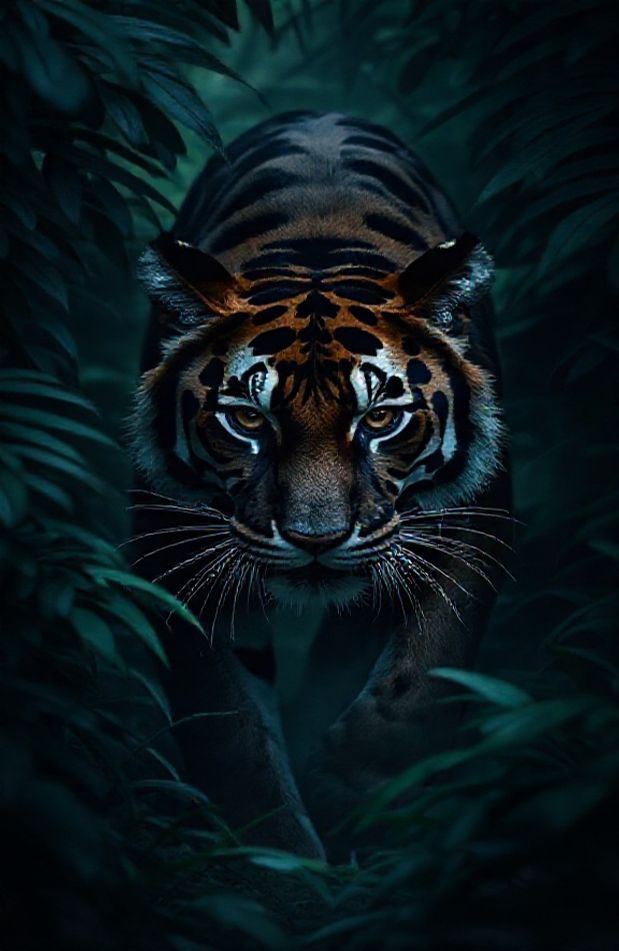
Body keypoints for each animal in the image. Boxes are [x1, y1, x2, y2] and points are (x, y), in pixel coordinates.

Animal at [130, 111, 511, 861]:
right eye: (248, 418)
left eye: (380, 418)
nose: (315, 538)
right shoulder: (176, 550)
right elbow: (228, 725)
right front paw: (274, 855)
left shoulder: (473, 525)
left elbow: (417, 686)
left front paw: (349, 800)